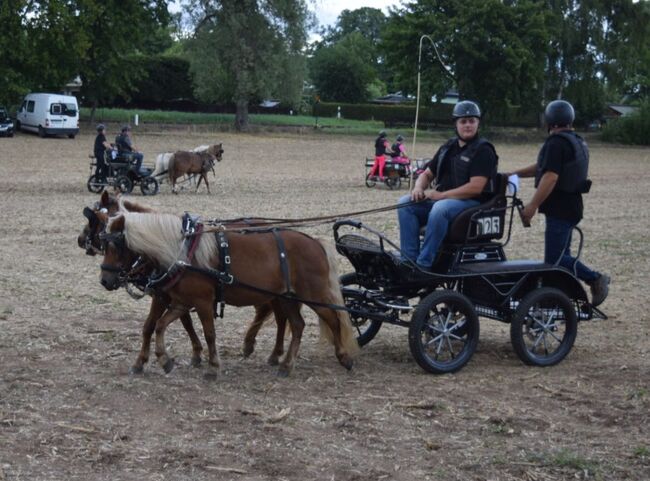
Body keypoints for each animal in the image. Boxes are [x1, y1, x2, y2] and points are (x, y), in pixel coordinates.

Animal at [98, 208, 356, 376]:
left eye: (117, 245)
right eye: (103, 243)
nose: (105, 280)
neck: (182, 252)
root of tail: (315, 242)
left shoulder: (201, 301)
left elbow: (209, 333)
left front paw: (212, 366)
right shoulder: (178, 301)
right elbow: (156, 326)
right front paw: (159, 360)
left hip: (313, 294)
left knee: (333, 319)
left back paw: (343, 356)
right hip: (288, 297)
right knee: (296, 324)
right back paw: (284, 364)